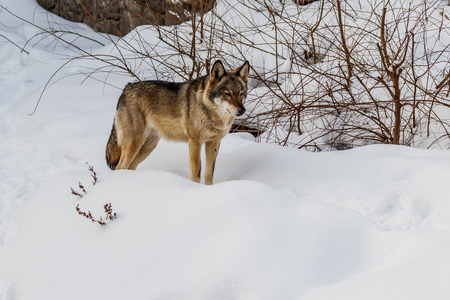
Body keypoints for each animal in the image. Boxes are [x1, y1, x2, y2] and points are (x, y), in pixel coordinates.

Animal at [106, 59, 250, 184]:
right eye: (227, 94)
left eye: (241, 93)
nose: (242, 110)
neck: (212, 114)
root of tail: (126, 88)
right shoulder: (195, 143)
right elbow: (196, 172)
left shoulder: (214, 143)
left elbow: (209, 173)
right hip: (134, 145)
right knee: (120, 167)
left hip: (147, 147)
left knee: (130, 167)